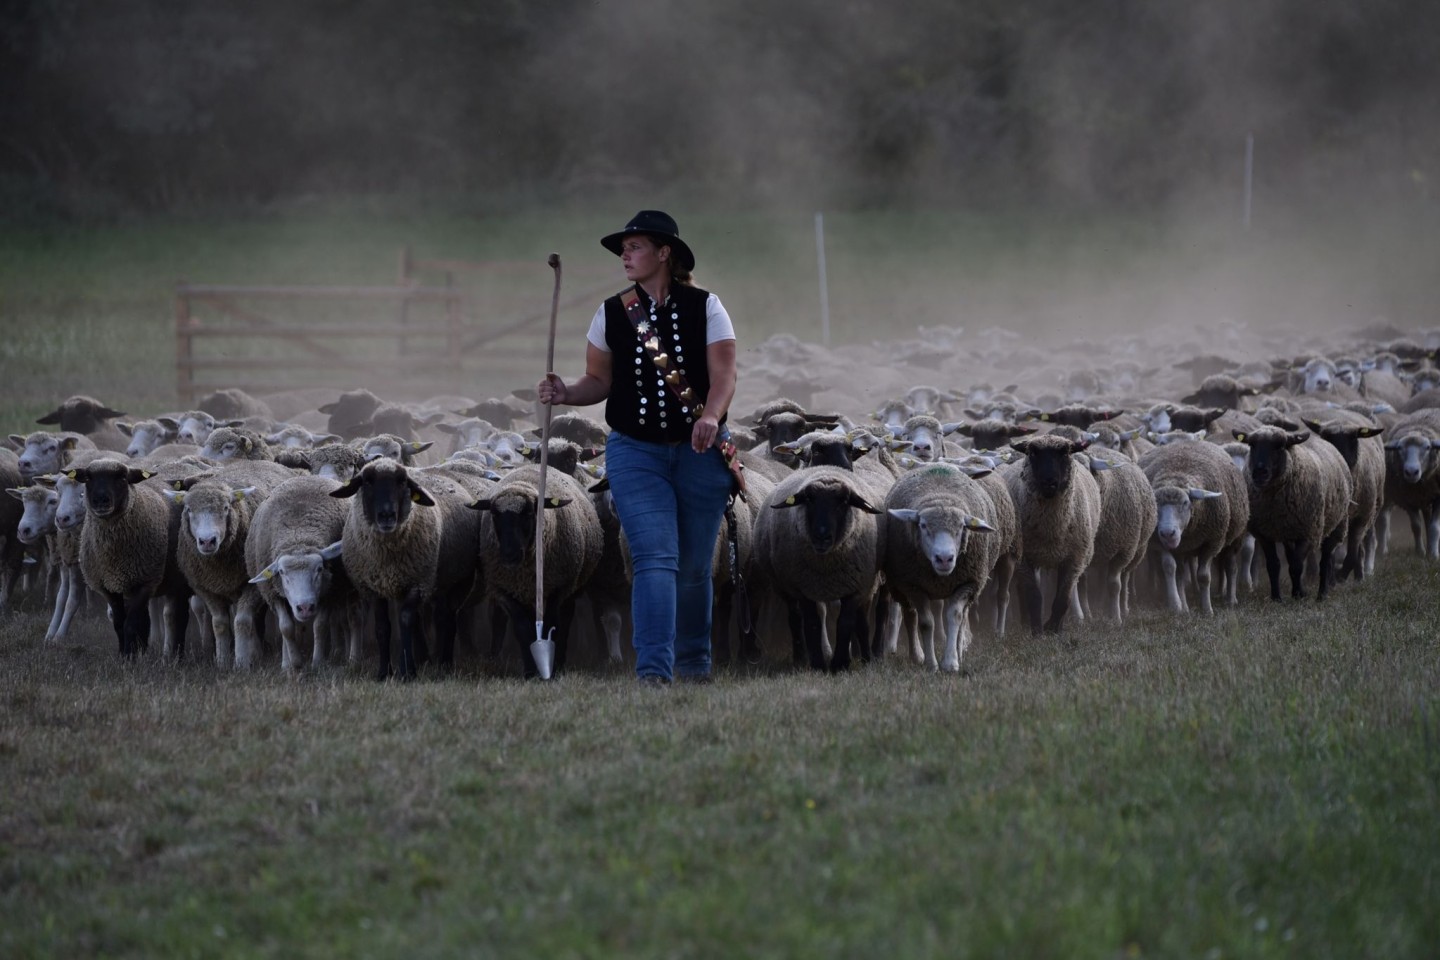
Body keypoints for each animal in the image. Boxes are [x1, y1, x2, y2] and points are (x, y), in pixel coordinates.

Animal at [244, 477, 357, 673]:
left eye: (319, 569)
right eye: (282, 572)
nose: (304, 607)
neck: (298, 536)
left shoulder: (328, 591)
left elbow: (320, 626)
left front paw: (317, 662)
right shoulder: (274, 594)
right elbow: (286, 628)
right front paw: (294, 664)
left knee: (352, 618)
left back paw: (353, 658)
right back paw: (285, 663)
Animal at [472, 463, 601, 676]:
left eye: (528, 514)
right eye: (495, 515)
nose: (510, 554)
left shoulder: (557, 588)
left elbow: (552, 624)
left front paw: (552, 668)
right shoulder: (506, 592)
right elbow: (523, 629)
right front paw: (531, 671)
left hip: (571, 587)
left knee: (565, 619)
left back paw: (560, 660)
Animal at [748, 469, 881, 673]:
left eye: (843, 501)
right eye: (809, 500)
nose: (822, 537)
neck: (826, 567)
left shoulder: (854, 588)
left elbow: (845, 623)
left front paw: (839, 664)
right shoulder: (805, 588)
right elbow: (812, 624)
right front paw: (819, 664)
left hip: (866, 586)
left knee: (862, 622)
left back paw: (867, 658)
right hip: (785, 586)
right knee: (795, 618)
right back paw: (801, 658)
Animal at [875, 460, 1002, 673]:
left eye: (961, 527)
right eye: (923, 525)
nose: (944, 559)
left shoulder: (967, 582)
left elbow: (955, 616)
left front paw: (951, 662)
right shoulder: (914, 586)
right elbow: (926, 622)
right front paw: (931, 664)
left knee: (962, 616)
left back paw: (959, 650)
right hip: (901, 587)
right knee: (910, 615)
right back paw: (916, 655)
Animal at [1002, 434, 1100, 630]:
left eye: (1064, 453)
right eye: (1033, 453)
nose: (1049, 482)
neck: (1051, 529)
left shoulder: (1073, 559)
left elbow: (1063, 599)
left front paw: (1053, 629)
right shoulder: (1025, 559)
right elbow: (1033, 597)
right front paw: (1037, 631)